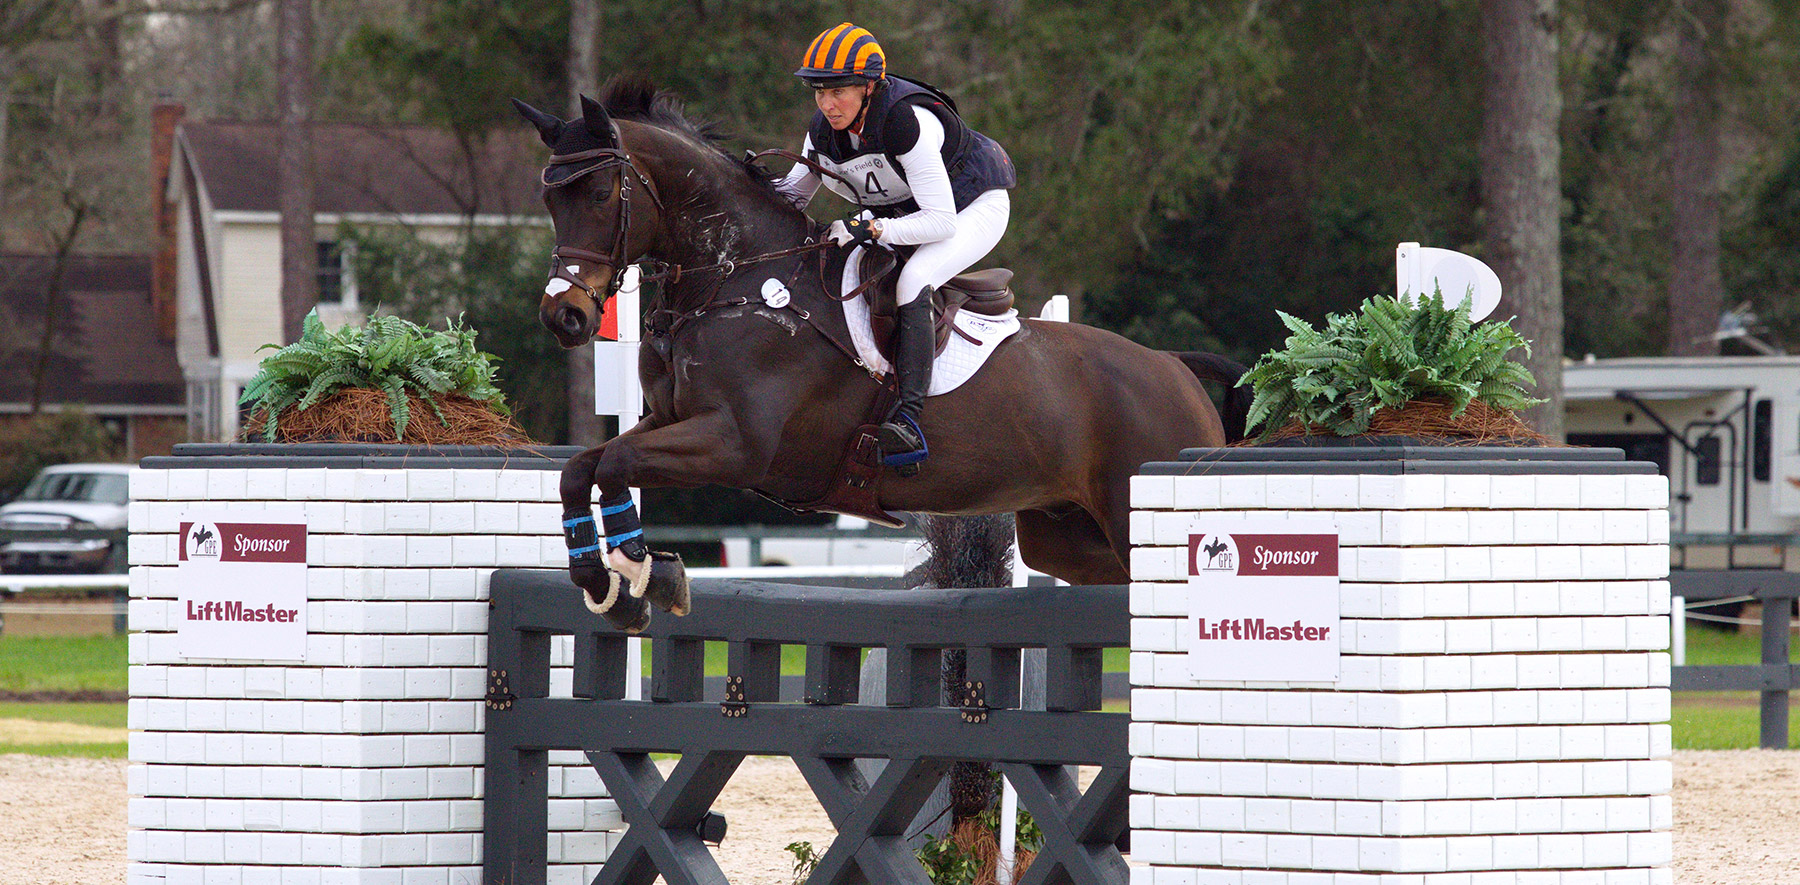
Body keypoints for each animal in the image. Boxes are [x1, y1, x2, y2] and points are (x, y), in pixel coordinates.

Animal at [514, 79, 1248, 632]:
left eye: (600, 194)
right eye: (548, 197)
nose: (564, 315)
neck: (738, 278)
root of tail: (1174, 368)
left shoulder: (735, 443)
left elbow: (616, 463)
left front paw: (645, 572)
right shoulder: (668, 421)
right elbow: (583, 468)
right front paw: (602, 579)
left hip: (1129, 511)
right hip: (1064, 533)